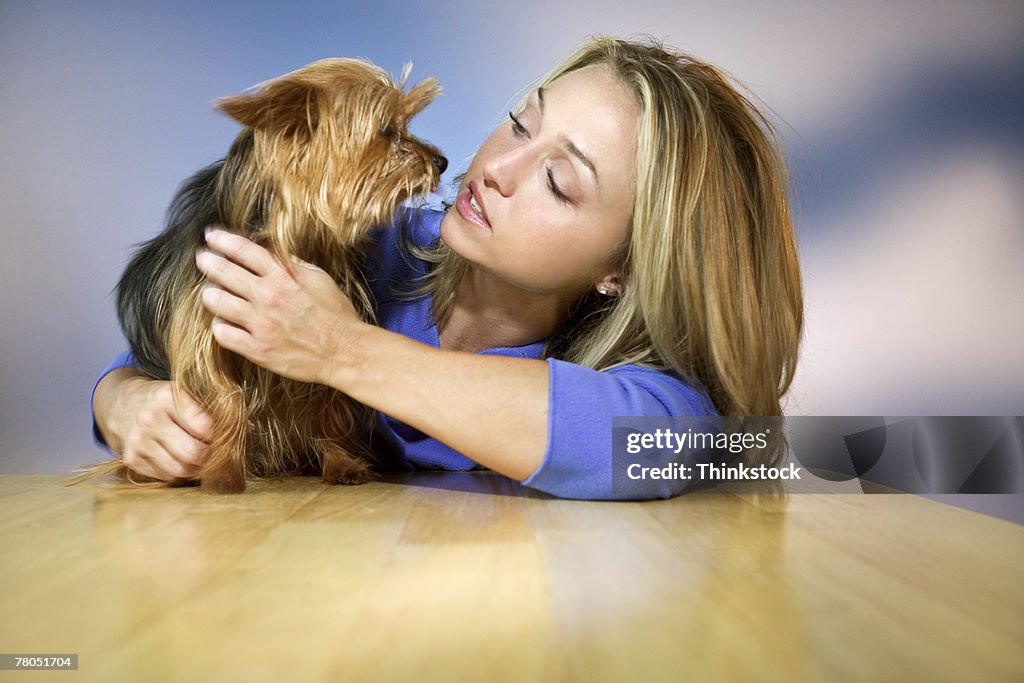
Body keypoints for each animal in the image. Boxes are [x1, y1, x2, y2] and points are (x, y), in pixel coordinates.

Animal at [78, 57, 444, 491]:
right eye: (387, 130)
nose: (442, 162)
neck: (296, 232)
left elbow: (328, 403)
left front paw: (342, 464)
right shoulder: (205, 332)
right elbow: (228, 396)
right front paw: (223, 472)